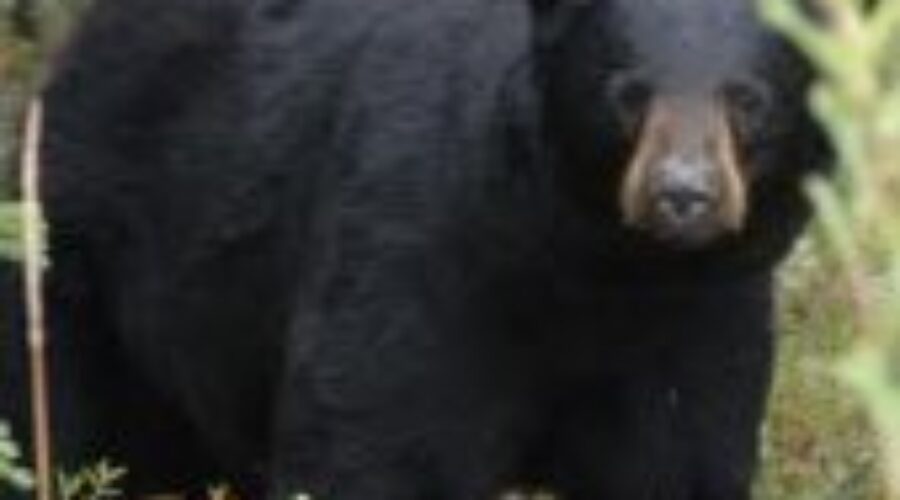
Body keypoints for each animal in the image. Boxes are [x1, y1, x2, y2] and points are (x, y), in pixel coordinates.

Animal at [21, 0, 831, 498]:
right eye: (627, 92)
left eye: (747, 98)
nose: (683, 195)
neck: (593, 266)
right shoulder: (423, 248)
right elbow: (380, 440)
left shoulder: (699, 316)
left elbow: (679, 457)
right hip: (83, 260)